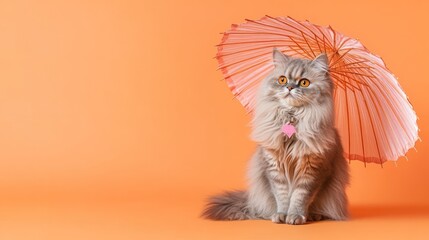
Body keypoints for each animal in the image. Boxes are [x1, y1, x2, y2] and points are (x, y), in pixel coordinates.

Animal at [202, 47, 350, 224]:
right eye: (282, 80)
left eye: (304, 82)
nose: (290, 88)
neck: (291, 117)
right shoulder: (274, 167)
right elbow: (282, 196)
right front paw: (281, 215)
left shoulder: (311, 169)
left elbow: (299, 197)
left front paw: (295, 216)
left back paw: (313, 216)